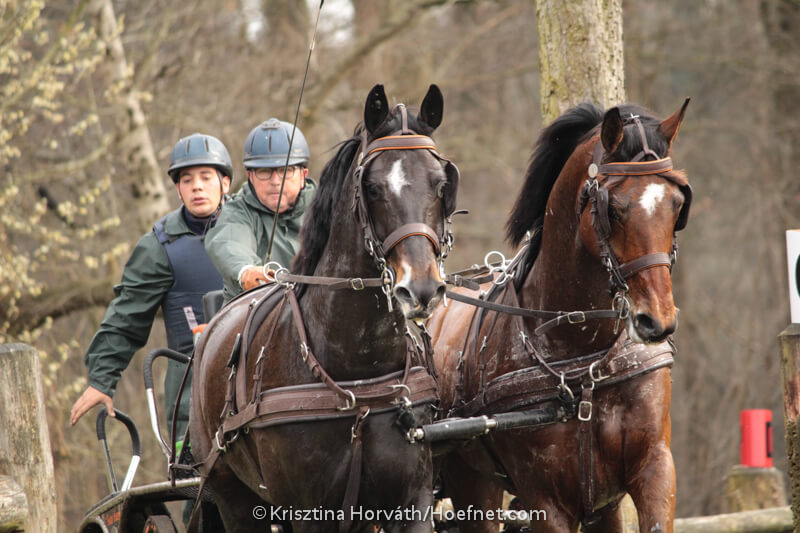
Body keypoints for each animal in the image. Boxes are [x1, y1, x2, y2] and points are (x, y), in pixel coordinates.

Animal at [189, 84, 459, 533]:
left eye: (442, 185)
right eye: (372, 187)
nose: (421, 289)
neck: (357, 374)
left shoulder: (412, 502)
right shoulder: (309, 512)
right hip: (234, 498)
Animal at [428, 100, 691, 532]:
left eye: (678, 204)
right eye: (613, 209)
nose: (656, 321)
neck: (585, 358)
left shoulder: (651, 471)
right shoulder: (546, 501)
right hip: (473, 489)